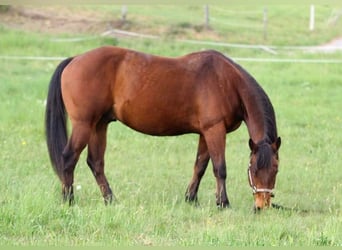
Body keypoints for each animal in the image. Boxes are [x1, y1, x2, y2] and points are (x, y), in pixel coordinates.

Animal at [45, 46, 280, 210]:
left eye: (276, 169)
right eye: (254, 169)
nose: (262, 206)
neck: (227, 81)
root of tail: (75, 59)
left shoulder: (205, 133)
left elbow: (200, 166)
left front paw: (191, 199)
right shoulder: (215, 130)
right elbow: (219, 168)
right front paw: (223, 203)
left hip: (99, 126)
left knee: (96, 163)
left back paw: (110, 200)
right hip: (84, 125)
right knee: (69, 158)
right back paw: (69, 200)